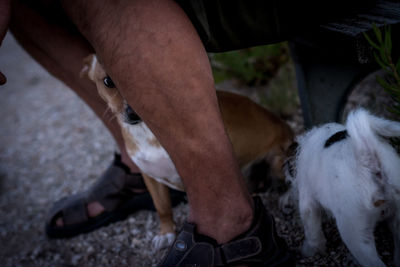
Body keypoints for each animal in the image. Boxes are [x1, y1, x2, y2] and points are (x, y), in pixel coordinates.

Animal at [82, 54, 294, 251]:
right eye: (108, 81)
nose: (134, 113)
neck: (146, 133)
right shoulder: (150, 177)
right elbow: (162, 207)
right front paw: (166, 233)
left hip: (278, 162)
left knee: (291, 179)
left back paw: (287, 198)